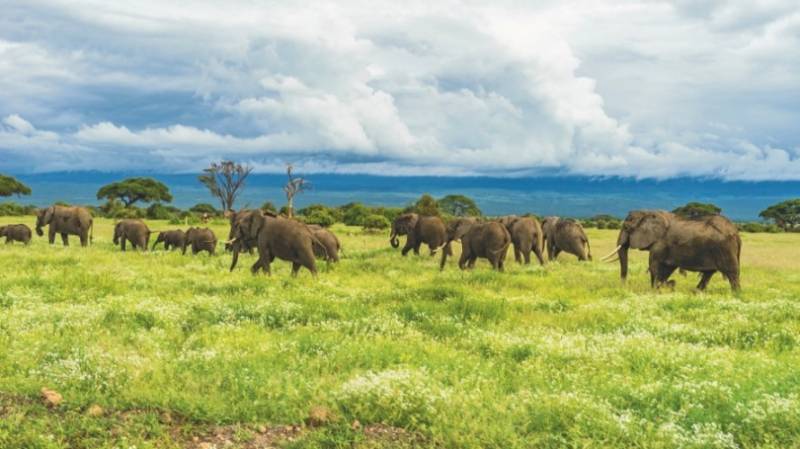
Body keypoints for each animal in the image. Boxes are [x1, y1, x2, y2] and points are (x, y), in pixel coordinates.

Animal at [604, 209, 740, 290]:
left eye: (626, 228)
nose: (623, 287)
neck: (647, 212)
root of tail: (736, 232)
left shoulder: (660, 244)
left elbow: (655, 267)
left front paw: (658, 289)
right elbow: (666, 269)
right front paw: (667, 286)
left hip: (725, 248)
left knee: (732, 273)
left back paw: (736, 294)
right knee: (709, 273)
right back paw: (696, 292)